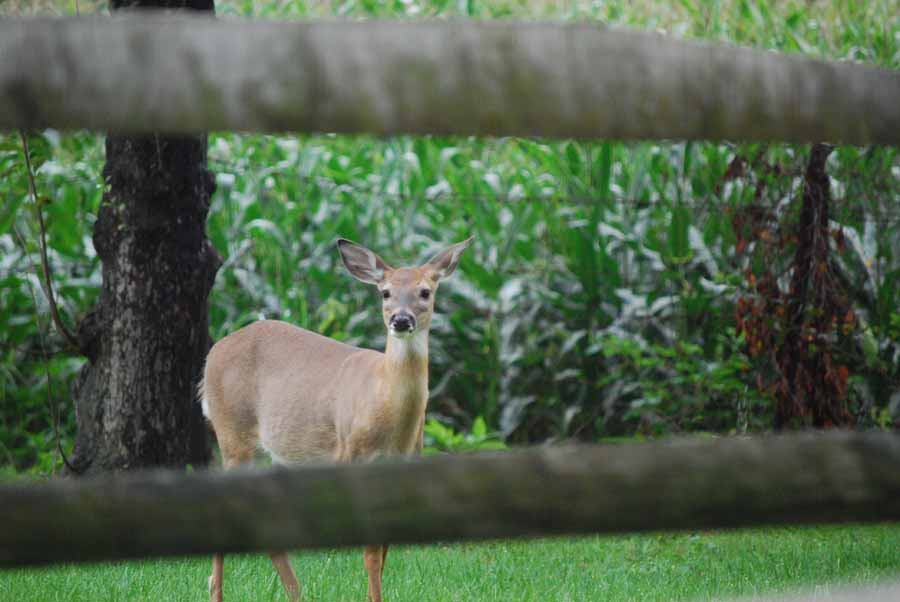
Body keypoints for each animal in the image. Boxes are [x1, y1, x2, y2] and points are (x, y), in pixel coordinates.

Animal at [200, 234, 474, 600]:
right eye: (385, 292)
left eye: (425, 292)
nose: (400, 320)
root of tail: (211, 355)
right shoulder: (350, 454)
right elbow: (370, 550)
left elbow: (385, 548)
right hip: (233, 434)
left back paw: (296, 594)